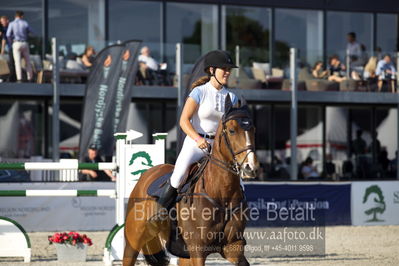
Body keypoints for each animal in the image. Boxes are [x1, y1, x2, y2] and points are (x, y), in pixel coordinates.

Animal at [123, 96, 258, 266]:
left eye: (253, 130)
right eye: (232, 130)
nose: (250, 167)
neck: (221, 194)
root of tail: (146, 175)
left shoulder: (233, 246)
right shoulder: (197, 249)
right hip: (133, 242)